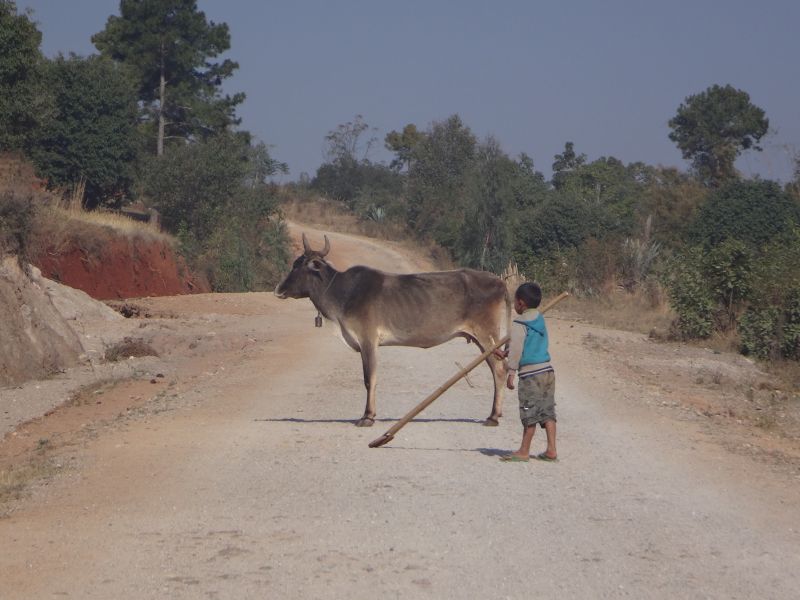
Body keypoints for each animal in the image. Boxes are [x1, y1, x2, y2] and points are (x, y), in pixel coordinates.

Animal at [276, 233, 510, 426]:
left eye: (298, 265)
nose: (279, 289)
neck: (342, 292)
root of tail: (499, 282)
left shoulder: (367, 339)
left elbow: (369, 378)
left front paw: (367, 417)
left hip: (487, 335)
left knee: (500, 370)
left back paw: (493, 417)